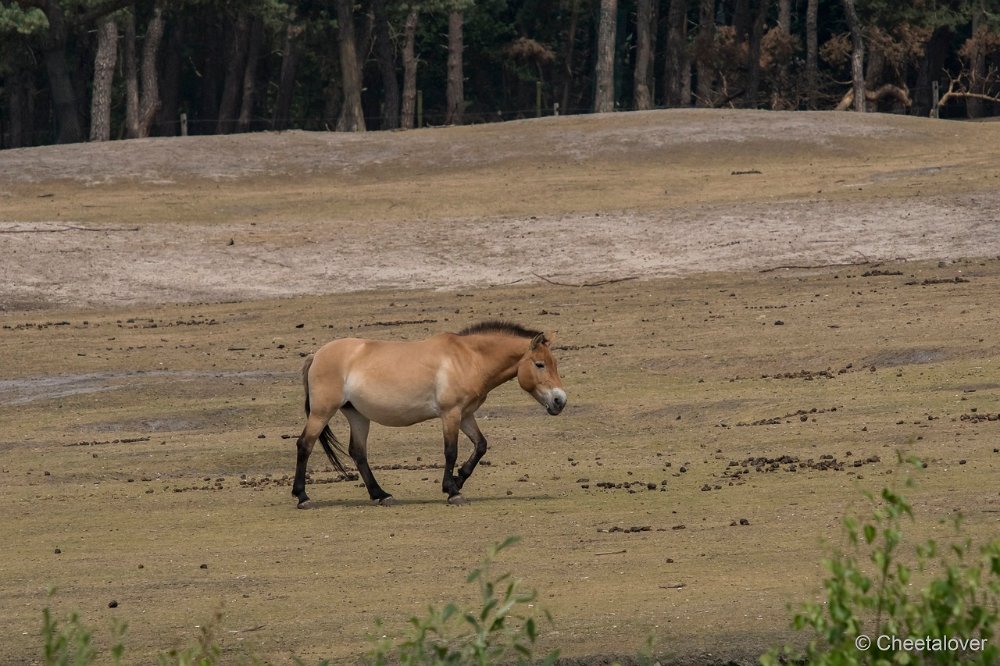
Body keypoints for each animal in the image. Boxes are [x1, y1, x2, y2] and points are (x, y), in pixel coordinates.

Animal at [292, 320, 568, 506]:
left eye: (554, 364)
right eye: (540, 364)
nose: (560, 401)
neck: (468, 359)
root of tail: (317, 355)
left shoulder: (466, 415)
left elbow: (480, 445)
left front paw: (458, 480)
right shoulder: (451, 414)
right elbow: (451, 452)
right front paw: (453, 491)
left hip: (358, 416)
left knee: (358, 453)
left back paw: (381, 495)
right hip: (322, 412)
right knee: (305, 445)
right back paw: (303, 496)